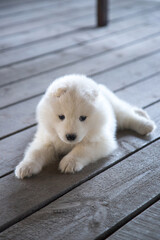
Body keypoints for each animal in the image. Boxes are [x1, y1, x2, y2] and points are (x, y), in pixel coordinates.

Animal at [14, 74, 155, 178]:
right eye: (61, 116)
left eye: (82, 118)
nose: (70, 136)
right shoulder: (46, 138)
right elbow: (36, 152)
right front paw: (25, 167)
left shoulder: (100, 141)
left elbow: (82, 149)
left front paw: (69, 162)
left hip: (116, 109)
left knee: (129, 116)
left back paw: (146, 125)